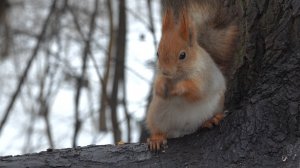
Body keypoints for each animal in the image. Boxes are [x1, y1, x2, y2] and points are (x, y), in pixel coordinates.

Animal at [146, 0, 238, 151]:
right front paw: (160, 87)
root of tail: (182, 130)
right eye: (157, 53)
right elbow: (158, 85)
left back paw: (210, 120)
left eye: (183, 55)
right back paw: (157, 139)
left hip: (215, 105)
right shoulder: (159, 76)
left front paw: (179, 88)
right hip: (156, 115)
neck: (177, 78)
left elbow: (196, 90)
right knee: (158, 129)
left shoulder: (204, 76)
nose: (166, 71)